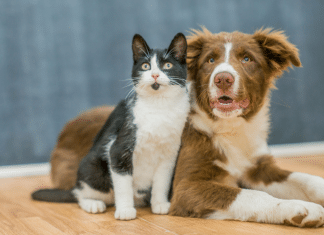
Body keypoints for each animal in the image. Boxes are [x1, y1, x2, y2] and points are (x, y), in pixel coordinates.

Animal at [31, 31, 189, 220]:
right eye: (145, 66)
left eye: (167, 65)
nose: (155, 75)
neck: (159, 107)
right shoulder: (118, 148)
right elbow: (123, 183)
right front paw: (125, 210)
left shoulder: (169, 154)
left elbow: (162, 182)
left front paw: (159, 204)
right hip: (93, 168)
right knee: (80, 194)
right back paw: (93, 203)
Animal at [168, 27, 324, 228]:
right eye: (210, 60)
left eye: (247, 59)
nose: (223, 79)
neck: (232, 128)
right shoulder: (186, 187)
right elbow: (252, 195)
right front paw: (297, 207)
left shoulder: (258, 168)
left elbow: (305, 178)